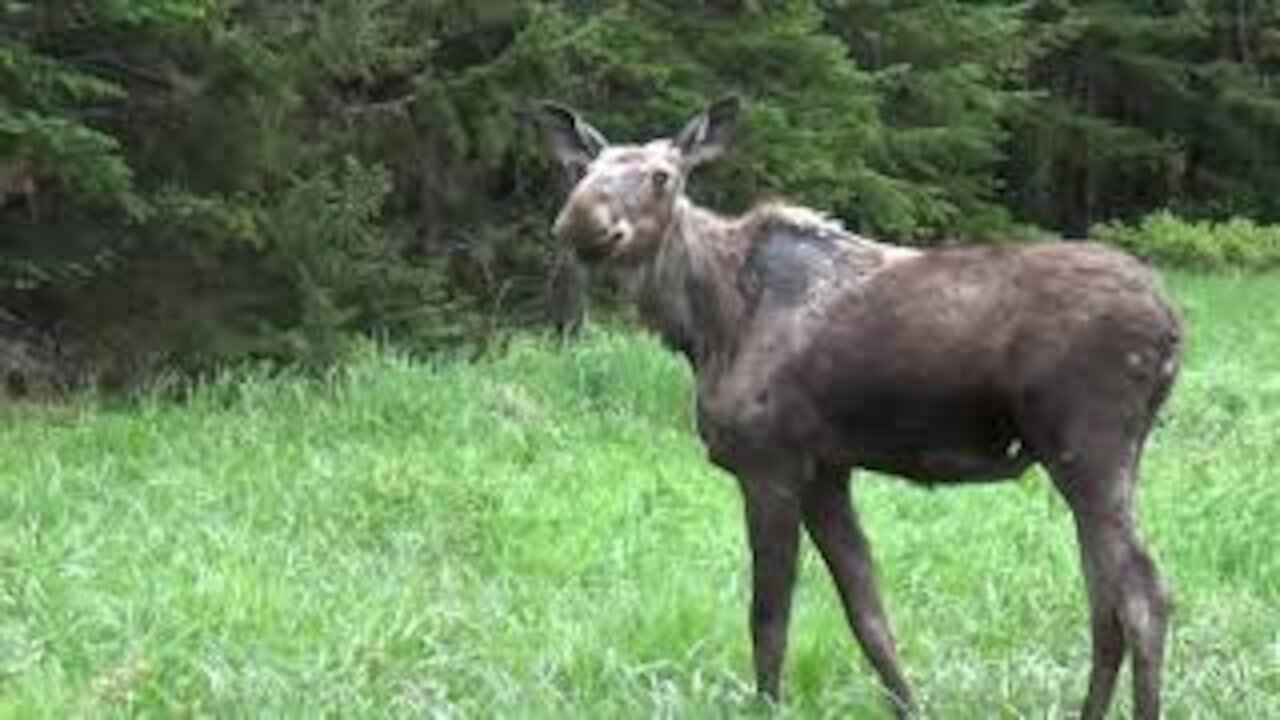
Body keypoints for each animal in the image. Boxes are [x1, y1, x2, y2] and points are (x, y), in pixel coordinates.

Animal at [529, 96, 1177, 717]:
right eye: (585, 170)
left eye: (662, 175)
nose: (580, 221)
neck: (706, 326)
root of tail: (1173, 328)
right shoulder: (827, 470)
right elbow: (868, 615)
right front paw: (909, 707)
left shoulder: (770, 463)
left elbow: (769, 618)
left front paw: (769, 705)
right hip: (1090, 462)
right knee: (1106, 602)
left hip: (1090, 449)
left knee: (1144, 597)